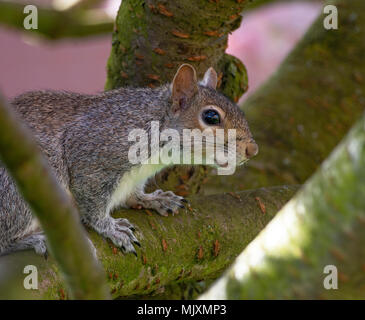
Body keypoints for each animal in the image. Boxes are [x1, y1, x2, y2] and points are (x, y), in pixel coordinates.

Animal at [0, 64, 258, 258]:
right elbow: (92, 202)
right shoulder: (93, 158)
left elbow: (132, 195)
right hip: (18, 195)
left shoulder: (133, 177)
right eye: (211, 116)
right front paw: (110, 227)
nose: (252, 149)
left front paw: (153, 199)